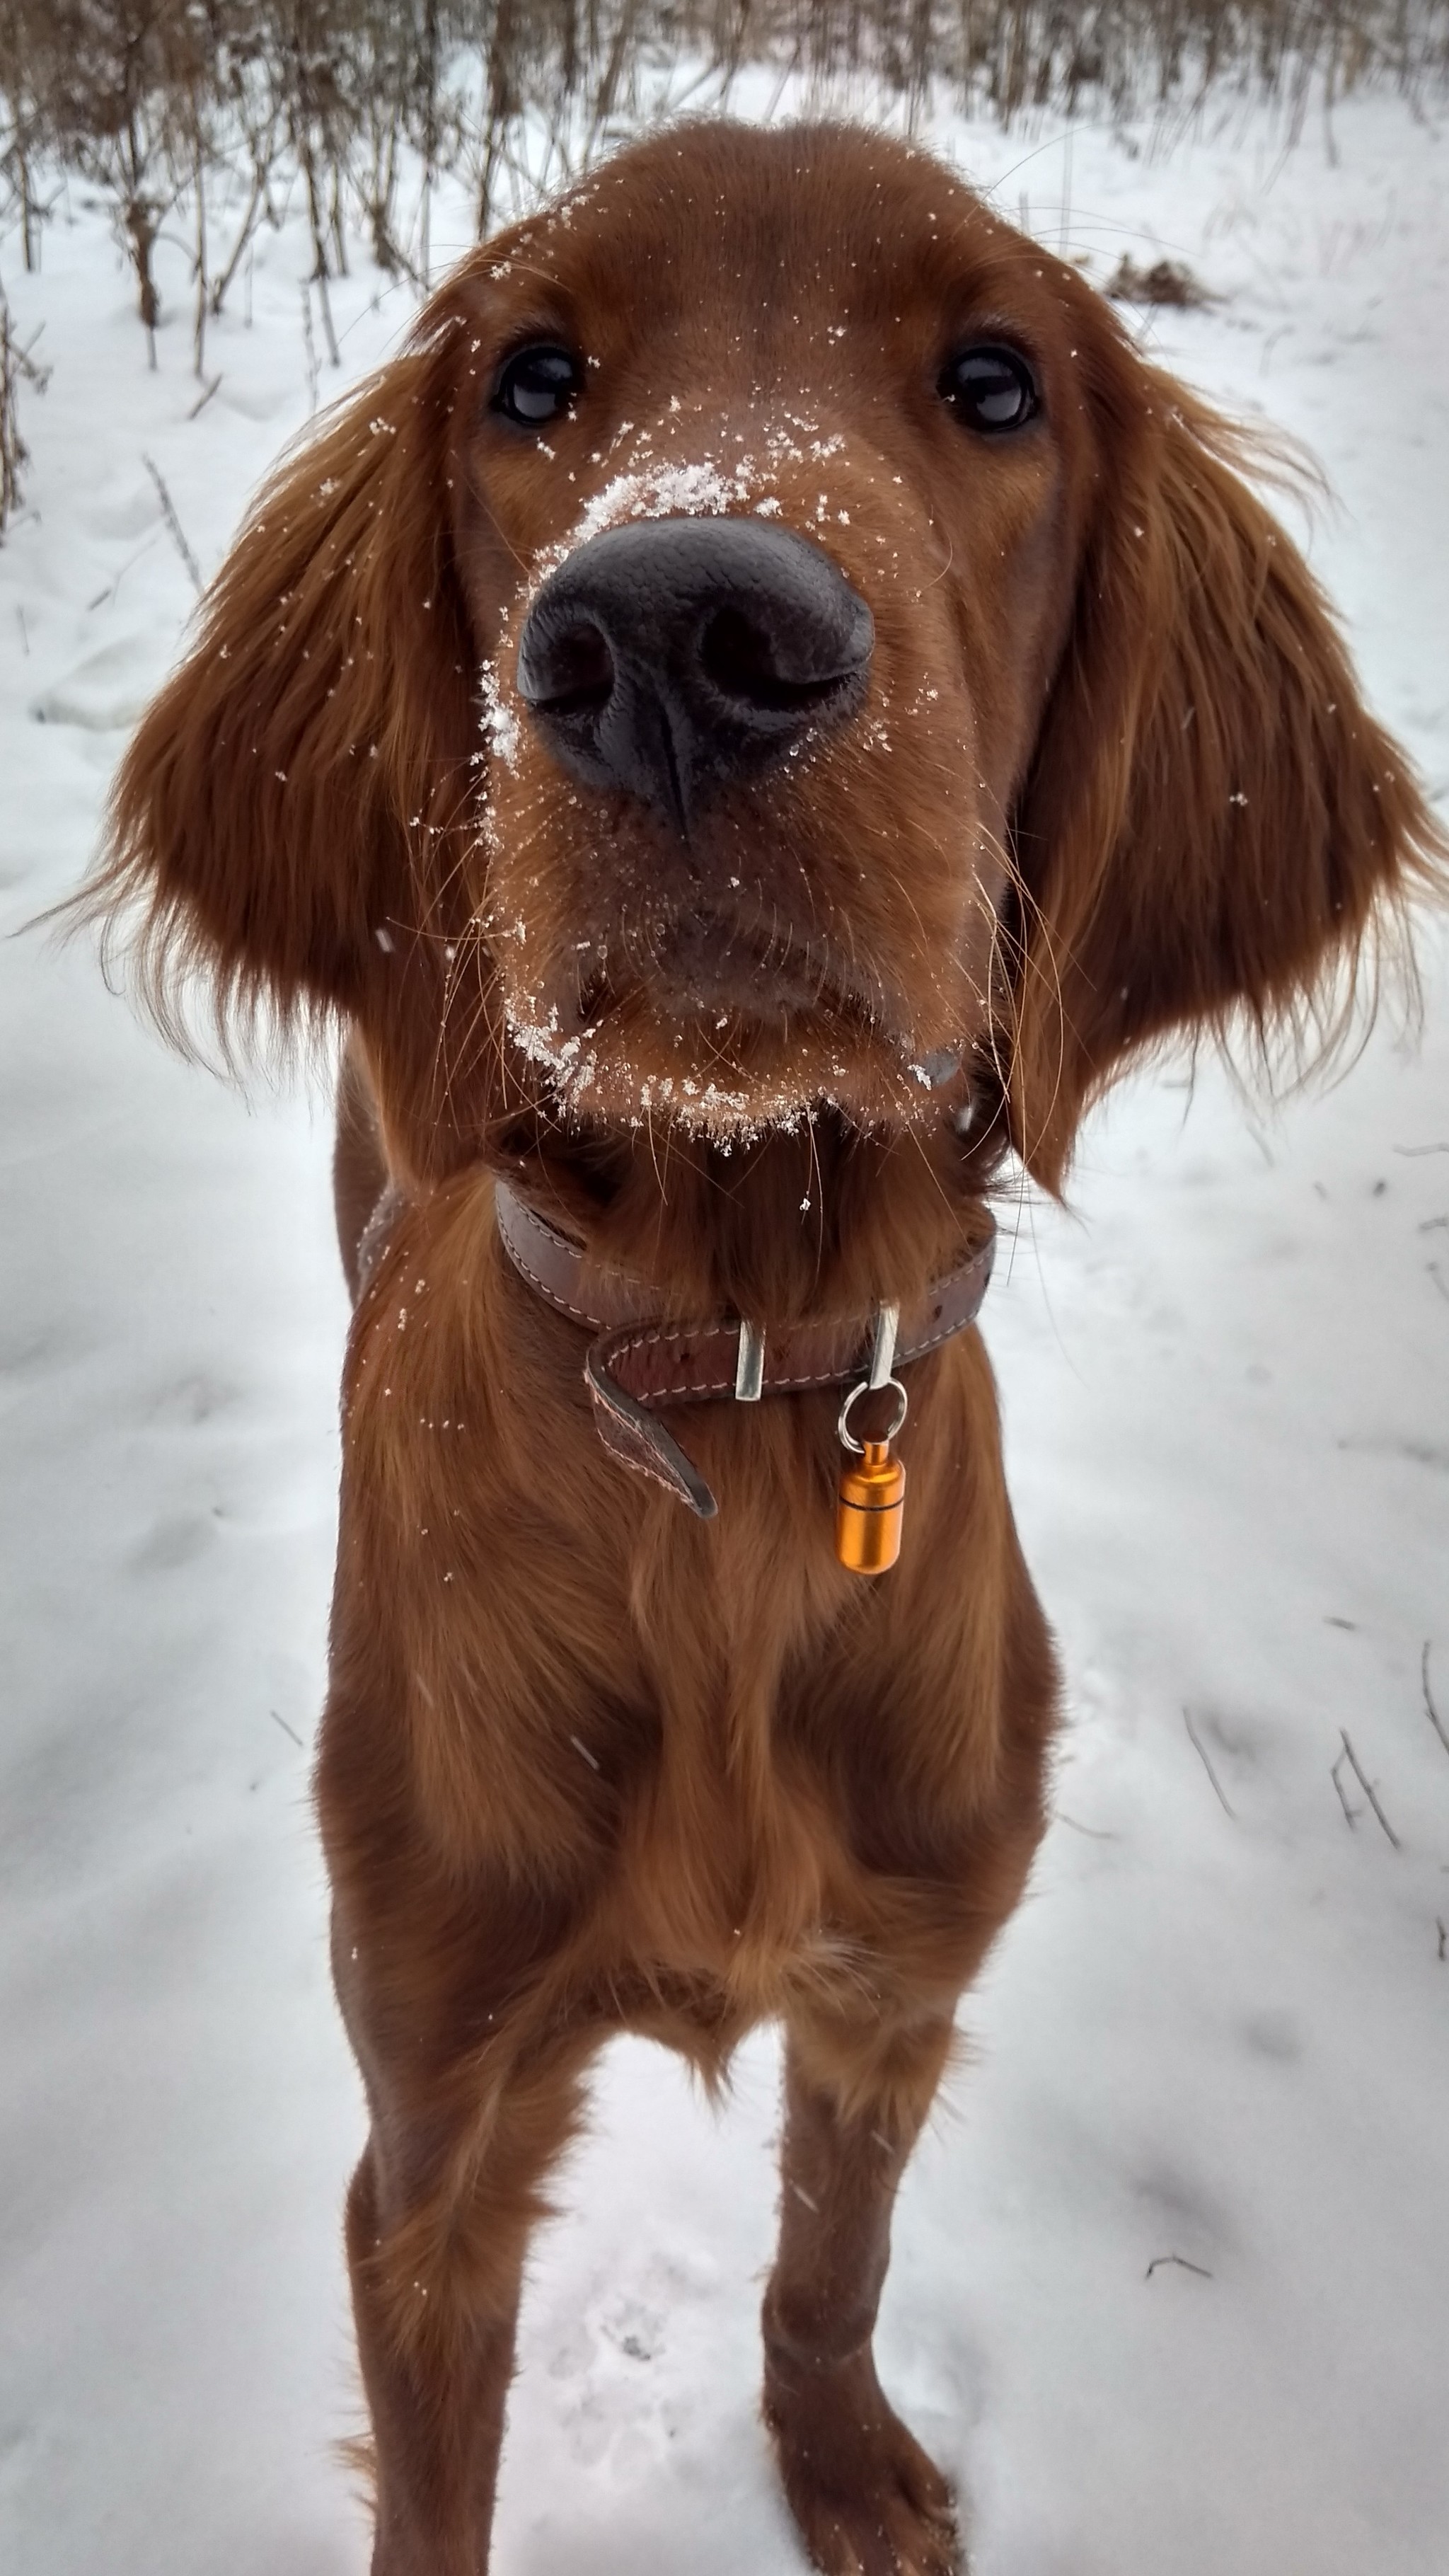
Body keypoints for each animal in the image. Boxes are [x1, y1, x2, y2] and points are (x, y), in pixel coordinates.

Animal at [85, 115, 1441, 2576]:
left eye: (996, 382)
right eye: (533, 377)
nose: (673, 641)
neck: (724, 1357)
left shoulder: (891, 1991)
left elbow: (831, 2268)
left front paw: (848, 2474)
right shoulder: (428, 2147)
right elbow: (438, 2487)